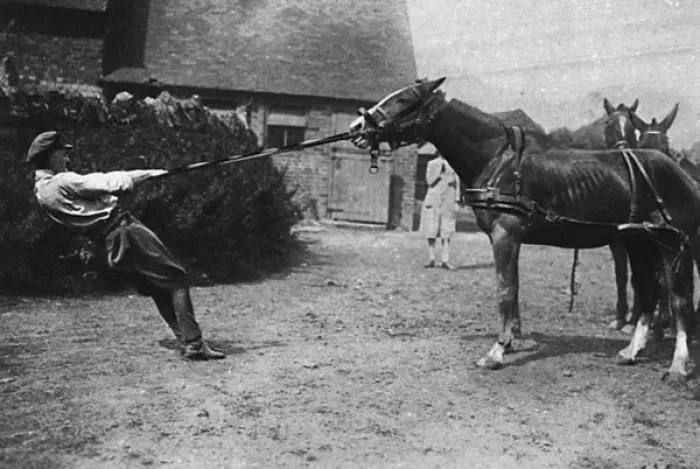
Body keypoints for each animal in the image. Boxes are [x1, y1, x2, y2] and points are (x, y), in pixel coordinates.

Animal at [349, 77, 700, 381]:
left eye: (404, 99)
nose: (357, 127)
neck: (499, 161)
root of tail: (678, 172)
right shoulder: (508, 238)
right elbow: (513, 288)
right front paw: (510, 339)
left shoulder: (505, 234)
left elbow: (505, 290)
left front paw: (496, 351)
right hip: (638, 242)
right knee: (649, 292)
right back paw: (631, 352)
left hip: (671, 245)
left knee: (678, 299)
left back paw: (678, 366)